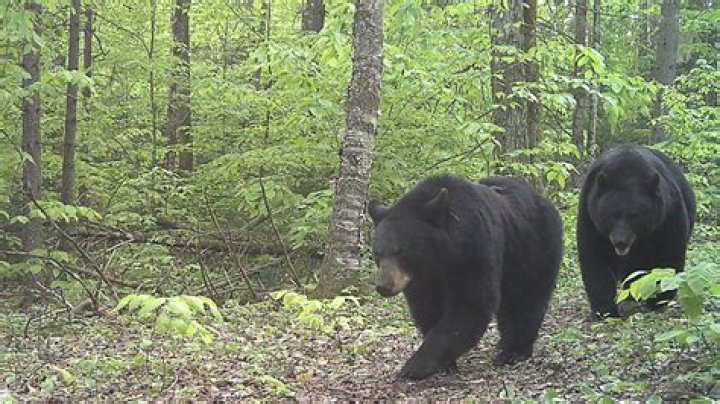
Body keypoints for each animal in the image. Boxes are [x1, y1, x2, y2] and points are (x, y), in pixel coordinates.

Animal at [368, 175, 563, 380]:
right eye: (378, 253)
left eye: (401, 252)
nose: (383, 286)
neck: (440, 257)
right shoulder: (424, 278)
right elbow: (427, 309)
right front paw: (445, 363)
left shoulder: (474, 249)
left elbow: (470, 307)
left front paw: (414, 366)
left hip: (534, 249)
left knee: (528, 298)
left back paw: (514, 351)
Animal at [577, 145, 696, 319]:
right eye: (611, 215)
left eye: (634, 216)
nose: (620, 242)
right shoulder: (590, 215)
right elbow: (595, 258)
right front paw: (605, 310)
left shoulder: (667, 215)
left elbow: (669, 255)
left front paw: (658, 300)